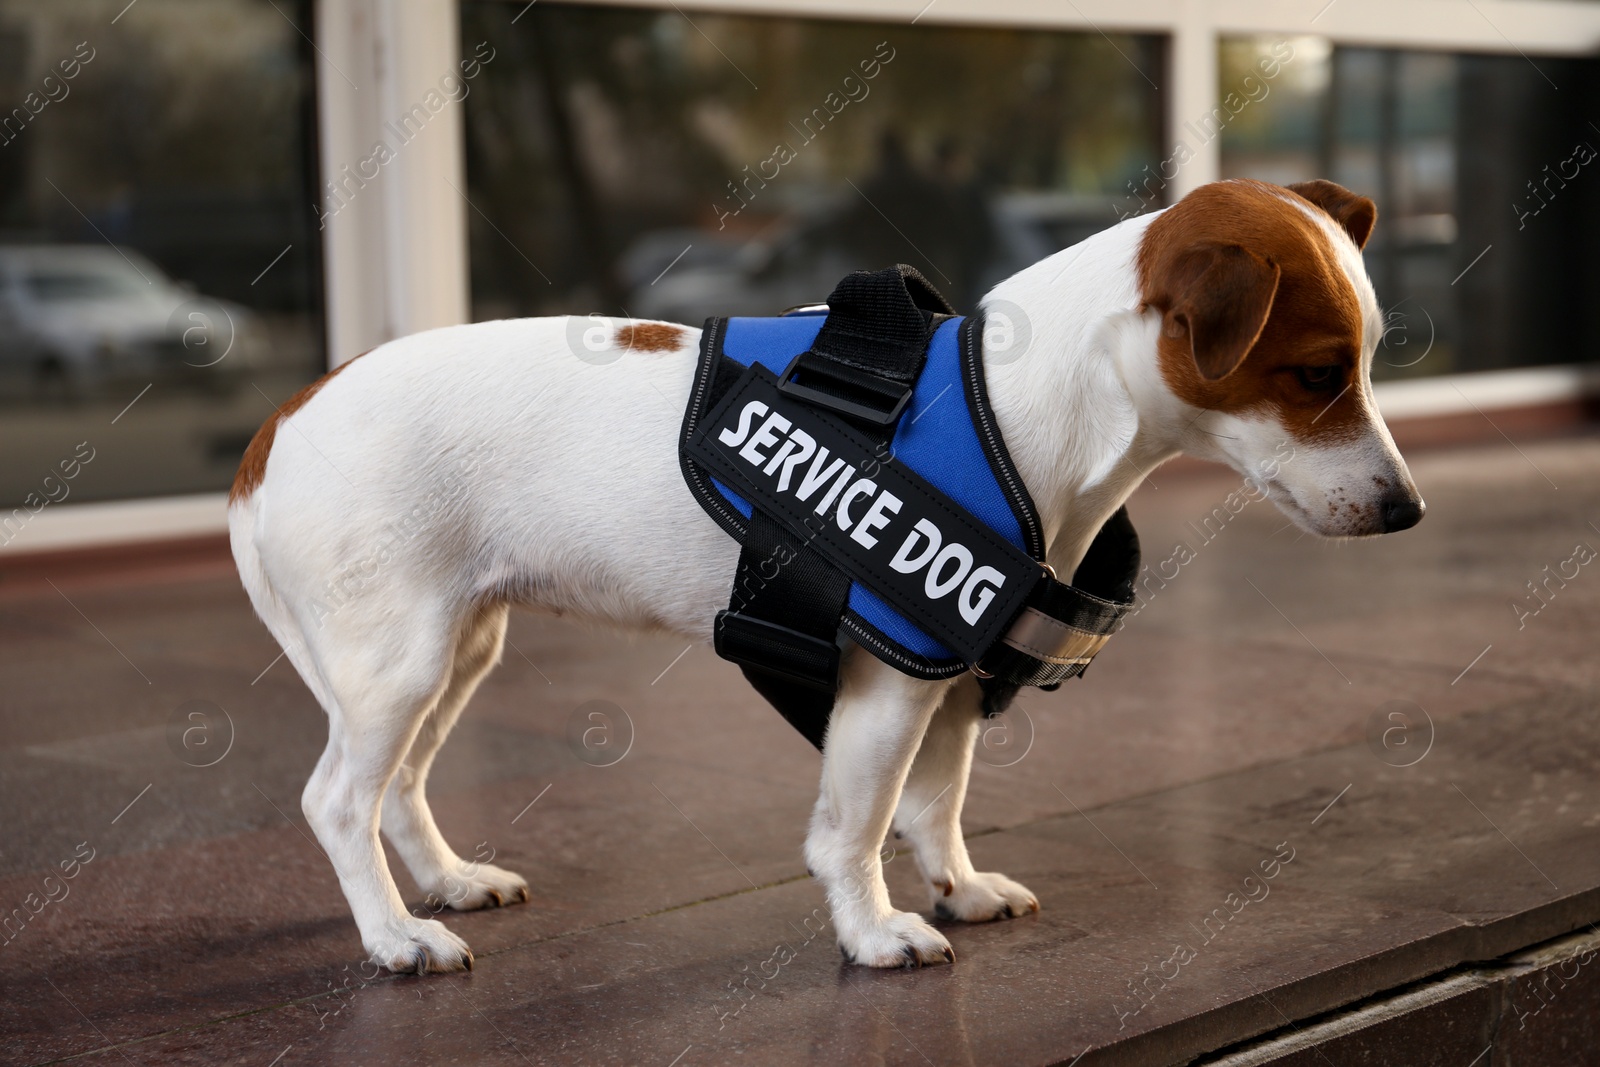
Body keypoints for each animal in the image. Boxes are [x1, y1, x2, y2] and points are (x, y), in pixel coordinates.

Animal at [228, 177, 1427, 979]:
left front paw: (957, 884)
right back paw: (394, 932)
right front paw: (872, 928)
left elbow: (937, 805)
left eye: (1367, 363)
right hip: (399, 661)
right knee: (339, 799)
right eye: (1316, 374)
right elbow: (854, 828)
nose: (1407, 509)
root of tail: (281, 421)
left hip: (454, 650)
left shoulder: (950, 680)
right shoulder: (886, 683)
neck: (1020, 404)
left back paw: (441, 881)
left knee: (399, 789)